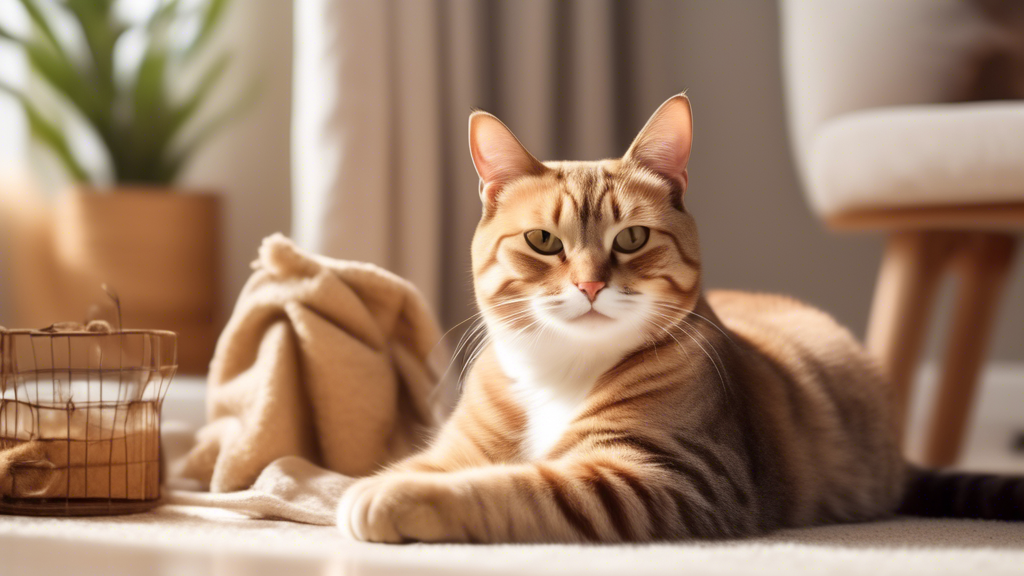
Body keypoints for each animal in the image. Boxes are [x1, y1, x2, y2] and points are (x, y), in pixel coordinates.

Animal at [342, 95, 905, 541]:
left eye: (632, 237)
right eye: (542, 240)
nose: (590, 285)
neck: (561, 372)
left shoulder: (664, 477)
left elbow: (512, 485)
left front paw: (394, 497)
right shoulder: (461, 446)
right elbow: (414, 466)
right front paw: (363, 484)